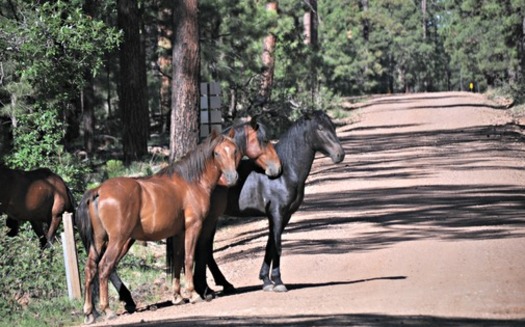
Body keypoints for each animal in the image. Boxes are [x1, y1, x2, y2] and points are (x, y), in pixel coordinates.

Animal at [75, 131, 242, 326]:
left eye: (234, 150)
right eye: (216, 153)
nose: (232, 177)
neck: (191, 182)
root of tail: (99, 190)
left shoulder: (179, 233)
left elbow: (177, 260)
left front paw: (177, 296)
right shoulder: (194, 227)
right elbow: (189, 259)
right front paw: (193, 294)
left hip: (99, 241)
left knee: (90, 269)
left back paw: (89, 312)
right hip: (118, 240)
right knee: (104, 267)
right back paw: (107, 310)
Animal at [194, 109, 346, 294]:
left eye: (333, 127)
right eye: (320, 129)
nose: (340, 154)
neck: (286, 172)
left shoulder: (284, 215)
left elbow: (270, 245)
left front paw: (266, 280)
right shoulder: (277, 213)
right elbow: (278, 245)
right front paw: (278, 281)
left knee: (206, 250)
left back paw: (224, 284)